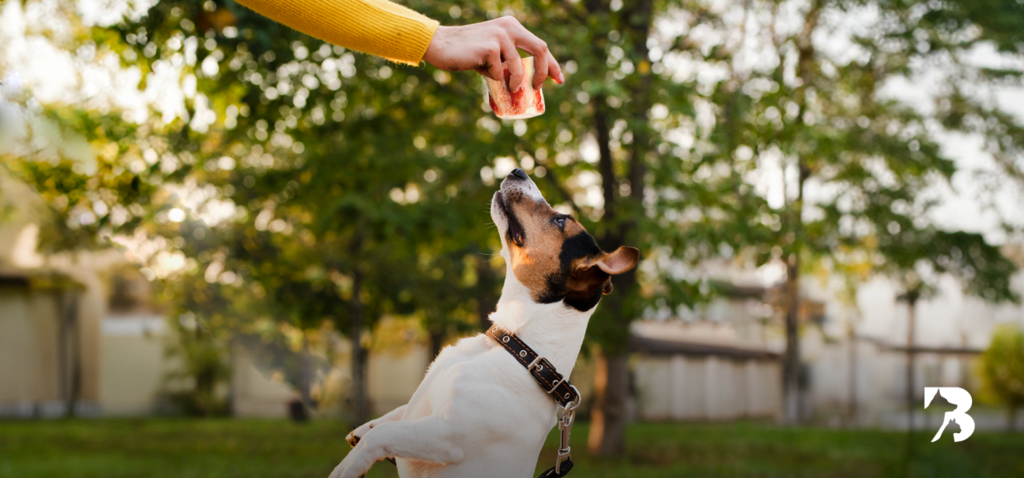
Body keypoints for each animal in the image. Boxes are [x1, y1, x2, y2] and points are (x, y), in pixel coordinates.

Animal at [327, 167, 634, 478]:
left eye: (560, 220)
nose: (517, 170)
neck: (517, 349)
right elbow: (395, 415)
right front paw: (363, 428)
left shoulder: (444, 435)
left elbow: (382, 436)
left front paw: (347, 467)